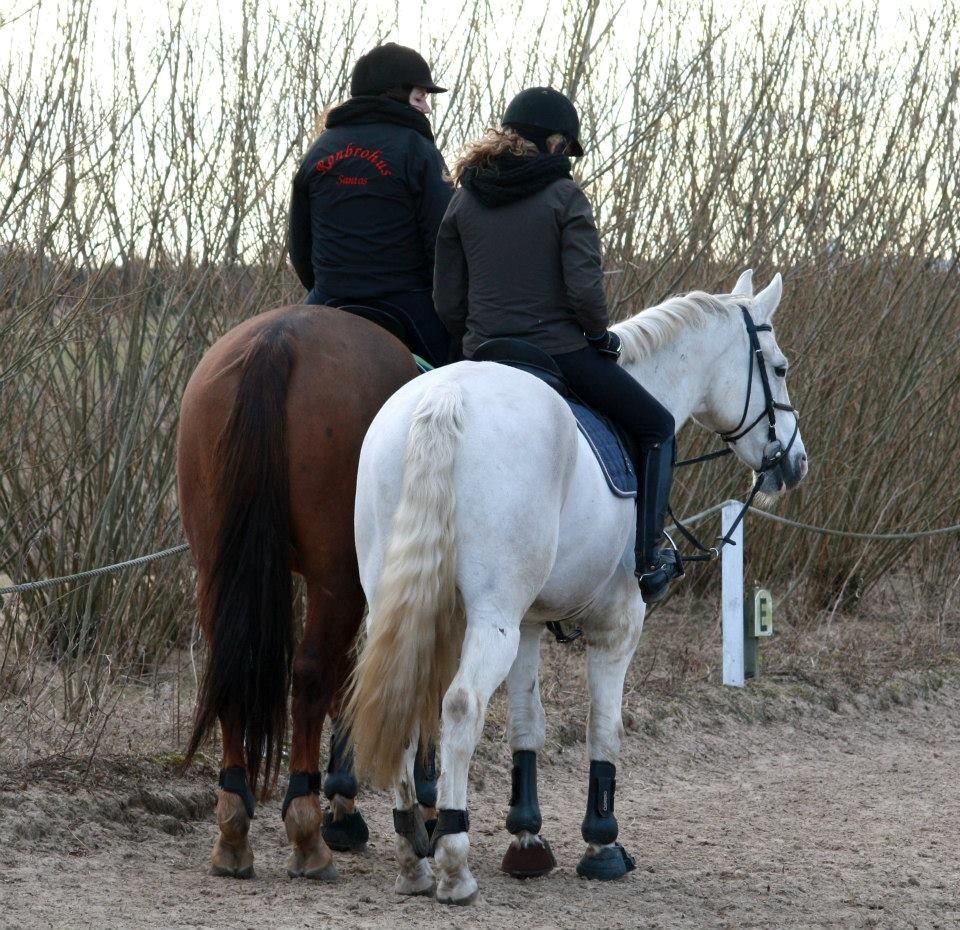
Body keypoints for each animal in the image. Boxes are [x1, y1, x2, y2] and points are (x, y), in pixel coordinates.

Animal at [179, 304, 416, 876]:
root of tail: (278, 340)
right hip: (339, 579)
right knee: (312, 676)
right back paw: (307, 829)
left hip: (217, 567)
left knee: (234, 667)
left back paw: (234, 827)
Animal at [344, 270, 808, 900]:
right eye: (779, 368)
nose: (795, 463)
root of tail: (445, 399)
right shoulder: (617, 625)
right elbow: (603, 726)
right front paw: (603, 843)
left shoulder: (529, 626)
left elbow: (527, 725)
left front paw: (527, 839)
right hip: (491, 618)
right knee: (460, 707)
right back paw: (454, 861)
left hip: (407, 607)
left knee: (400, 699)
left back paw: (413, 853)